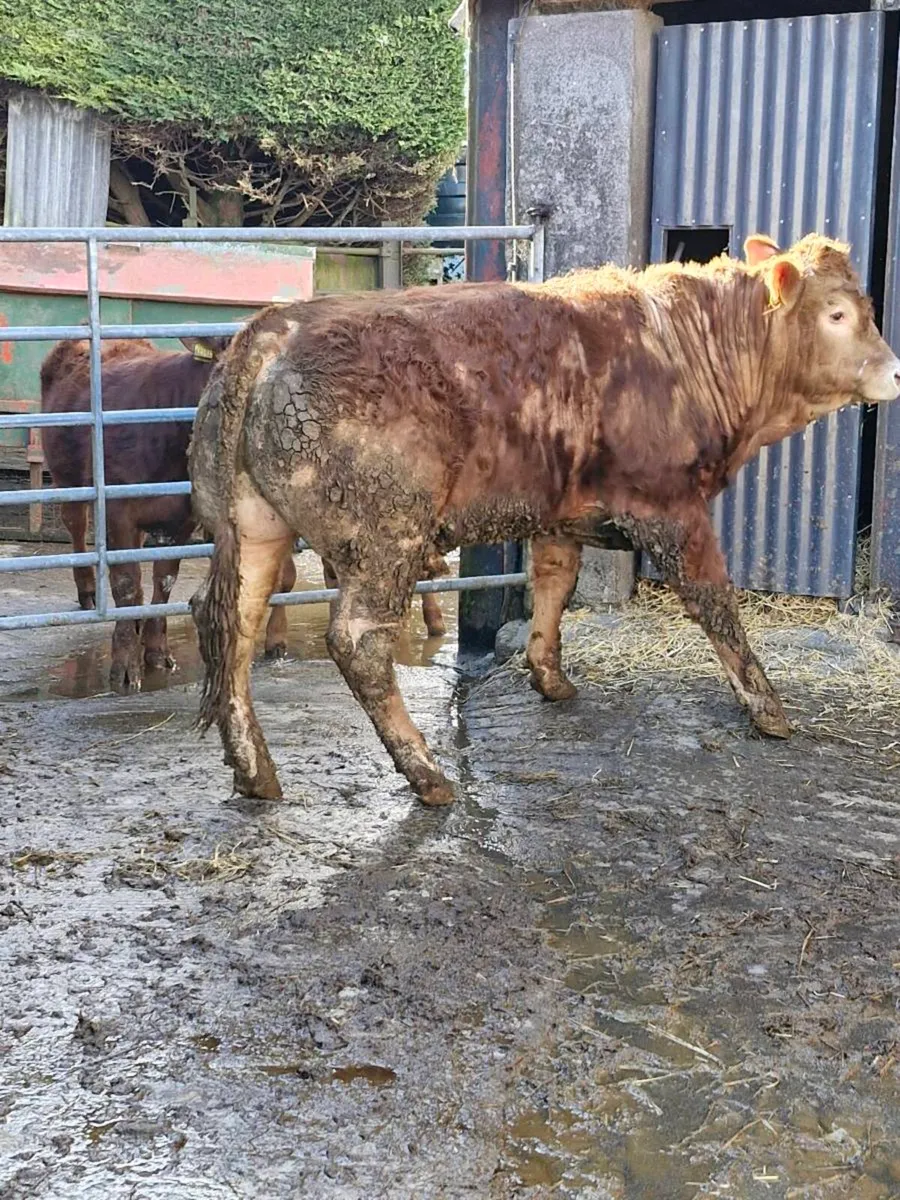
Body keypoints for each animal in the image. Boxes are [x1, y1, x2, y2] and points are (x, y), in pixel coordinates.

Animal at [188, 233, 900, 807]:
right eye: (838, 313)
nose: (895, 370)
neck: (684, 352)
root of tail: (271, 331)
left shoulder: (559, 510)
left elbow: (555, 583)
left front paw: (549, 675)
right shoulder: (672, 508)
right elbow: (715, 602)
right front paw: (767, 709)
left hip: (255, 526)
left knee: (230, 622)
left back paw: (254, 771)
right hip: (385, 534)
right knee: (358, 642)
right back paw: (427, 775)